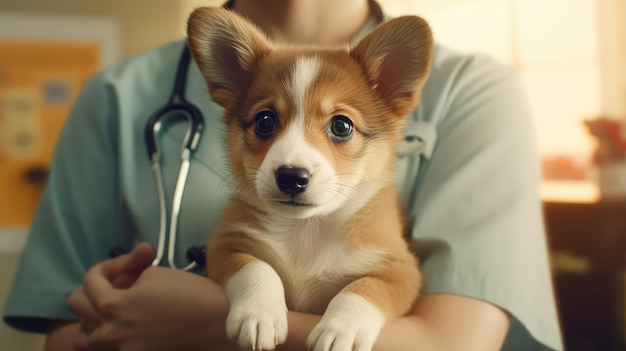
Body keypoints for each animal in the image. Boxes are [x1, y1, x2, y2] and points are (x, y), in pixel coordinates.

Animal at [188, 6, 432, 351]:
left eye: (341, 126)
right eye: (265, 121)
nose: (291, 177)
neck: (307, 231)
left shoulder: (399, 271)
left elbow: (361, 290)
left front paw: (342, 329)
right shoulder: (228, 244)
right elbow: (257, 269)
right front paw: (258, 314)